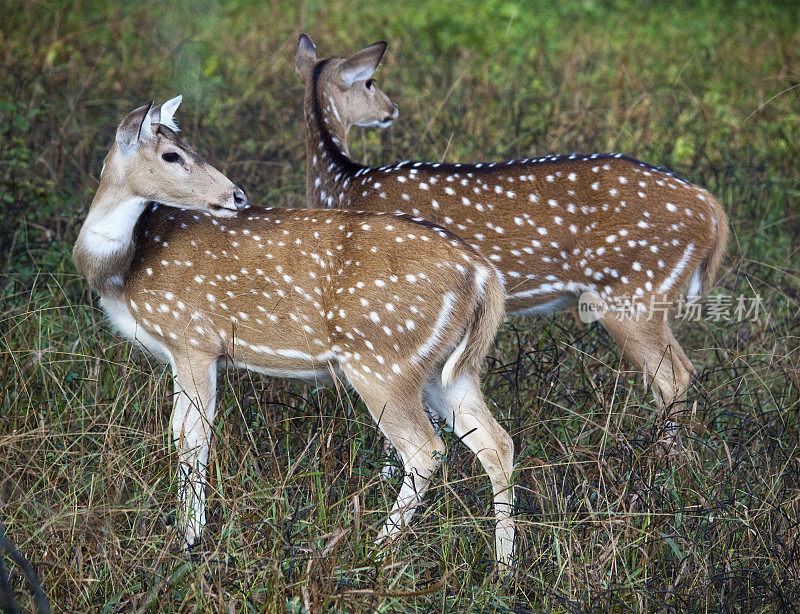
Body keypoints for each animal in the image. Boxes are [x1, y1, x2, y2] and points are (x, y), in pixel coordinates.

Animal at [73, 97, 512, 568]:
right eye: (173, 154)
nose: (237, 195)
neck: (123, 272)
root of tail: (485, 276)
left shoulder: (192, 338)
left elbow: (190, 438)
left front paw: (191, 540)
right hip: (445, 369)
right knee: (497, 445)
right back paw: (505, 566)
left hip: (382, 359)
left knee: (426, 450)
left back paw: (375, 551)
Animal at [296, 32, 732, 428]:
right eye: (370, 83)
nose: (392, 109)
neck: (345, 185)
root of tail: (712, 208)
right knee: (685, 368)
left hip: (632, 290)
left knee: (671, 377)